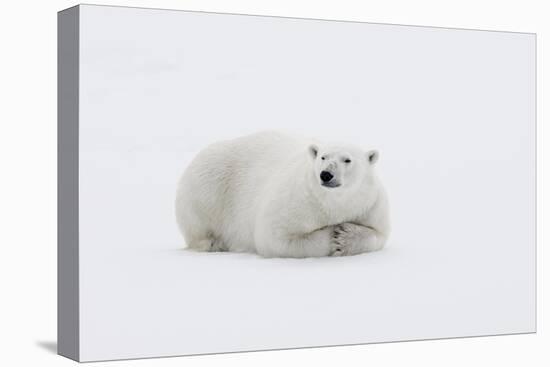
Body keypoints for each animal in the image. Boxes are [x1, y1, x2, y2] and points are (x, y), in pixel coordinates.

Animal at [175, 131, 390, 258]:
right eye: (323, 157)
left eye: (347, 160)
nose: (326, 174)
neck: (333, 202)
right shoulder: (298, 201)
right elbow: (276, 237)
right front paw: (333, 237)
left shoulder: (370, 204)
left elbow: (378, 234)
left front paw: (345, 236)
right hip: (207, 184)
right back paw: (214, 242)